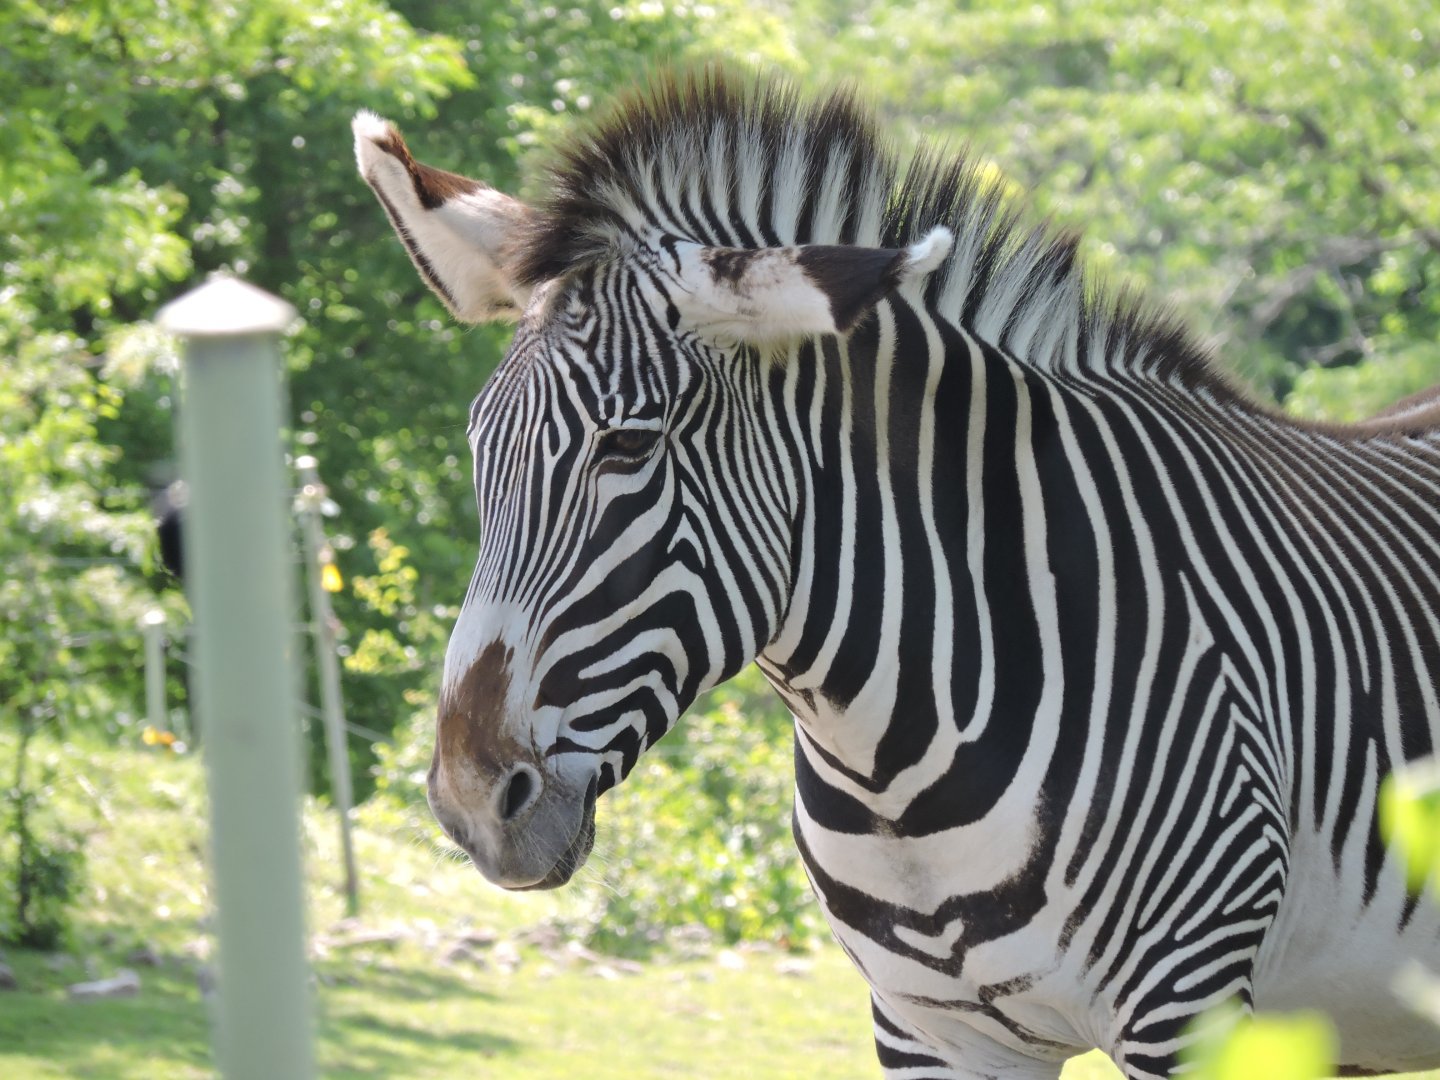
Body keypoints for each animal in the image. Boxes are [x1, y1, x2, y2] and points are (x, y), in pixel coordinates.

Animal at [353, 70, 1440, 1078]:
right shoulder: (931, 1030)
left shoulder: (1189, 1011)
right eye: (479, 444)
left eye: (628, 446)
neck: (898, 774)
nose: (469, 802)